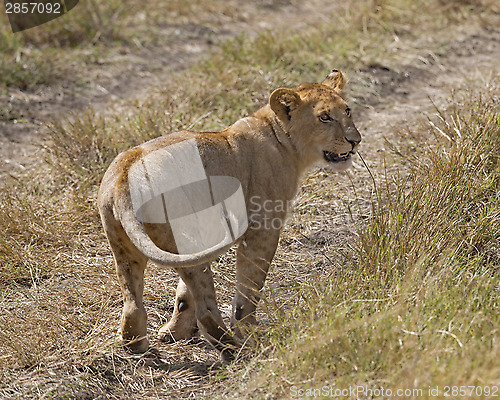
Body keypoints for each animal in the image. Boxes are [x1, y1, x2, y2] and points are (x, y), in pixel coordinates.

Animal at [97, 69, 362, 360]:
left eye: (347, 110)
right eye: (324, 117)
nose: (355, 141)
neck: (282, 139)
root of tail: (124, 179)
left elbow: (184, 295)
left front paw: (175, 332)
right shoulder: (263, 228)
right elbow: (250, 285)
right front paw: (248, 329)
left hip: (126, 247)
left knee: (134, 301)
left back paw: (135, 345)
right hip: (186, 240)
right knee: (206, 307)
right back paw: (231, 348)